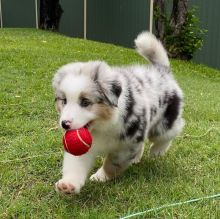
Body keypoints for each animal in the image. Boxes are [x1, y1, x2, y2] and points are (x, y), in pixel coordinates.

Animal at [52, 30, 184, 193]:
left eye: (85, 102)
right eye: (64, 101)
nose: (65, 124)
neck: (103, 126)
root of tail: (162, 71)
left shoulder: (126, 145)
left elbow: (112, 164)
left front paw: (100, 177)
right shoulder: (86, 146)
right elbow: (75, 164)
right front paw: (68, 185)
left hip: (164, 122)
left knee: (171, 132)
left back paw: (157, 151)